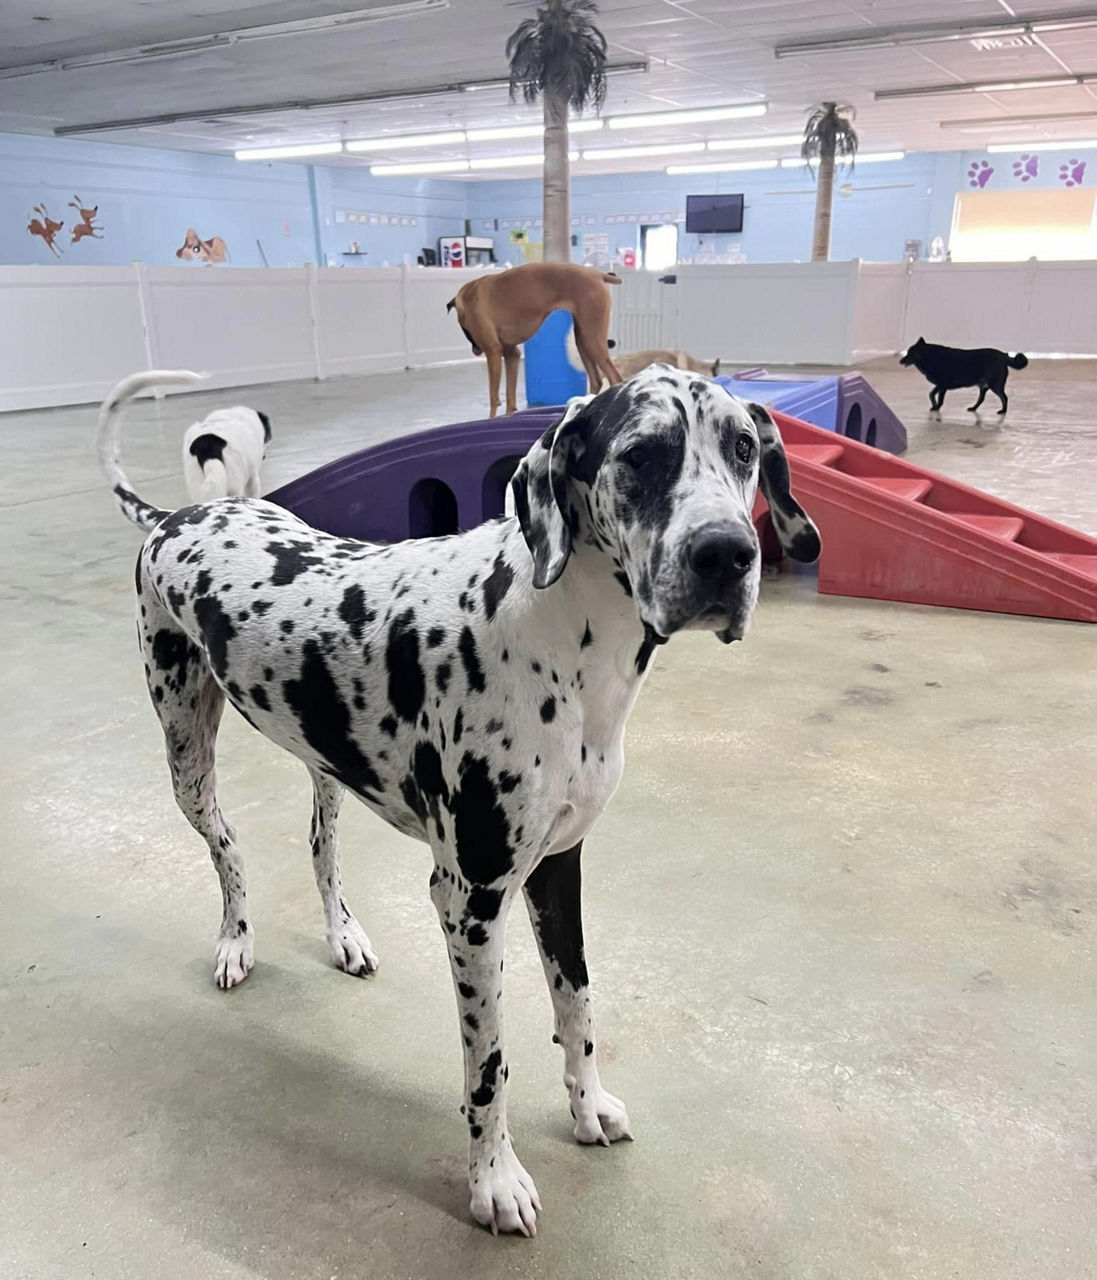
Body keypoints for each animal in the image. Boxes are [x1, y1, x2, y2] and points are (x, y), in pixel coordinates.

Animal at [98, 363, 819, 1239]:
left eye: (743, 448)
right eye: (640, 455)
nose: (726, 554)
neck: (562, 633)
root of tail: (181, 513)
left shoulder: (558, 869)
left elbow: (577, 1006)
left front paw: (587, 1108)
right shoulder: (469, 902)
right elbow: (490, 1065)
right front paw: (494, 1182)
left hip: (325, 760)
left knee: (320, 847)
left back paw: (343, 935)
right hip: (186, 755)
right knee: (228, 849)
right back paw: (236, 942)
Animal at [442, 262, 616, 417]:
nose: (475, 349)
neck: (468, 296)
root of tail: (596, 274)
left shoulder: (493, 352)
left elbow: (494, 396)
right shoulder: (512, 355)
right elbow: (510, 397)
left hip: (592, 339)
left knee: (615, 377)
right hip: (583, 341)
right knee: (596, 381)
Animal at [901, 335, 1029, 414]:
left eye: (910, 354)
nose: (900, 361)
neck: (930, 357)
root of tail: (1003, 356)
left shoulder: (942, 385)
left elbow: (934, 395)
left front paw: (936, 407)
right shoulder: (941, 386)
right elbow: (932, 395)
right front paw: (934, 406)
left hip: (995, 385)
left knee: (1004, 397)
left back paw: (1003, 411)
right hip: (984, 386)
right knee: (981, 399)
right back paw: (973, 408)